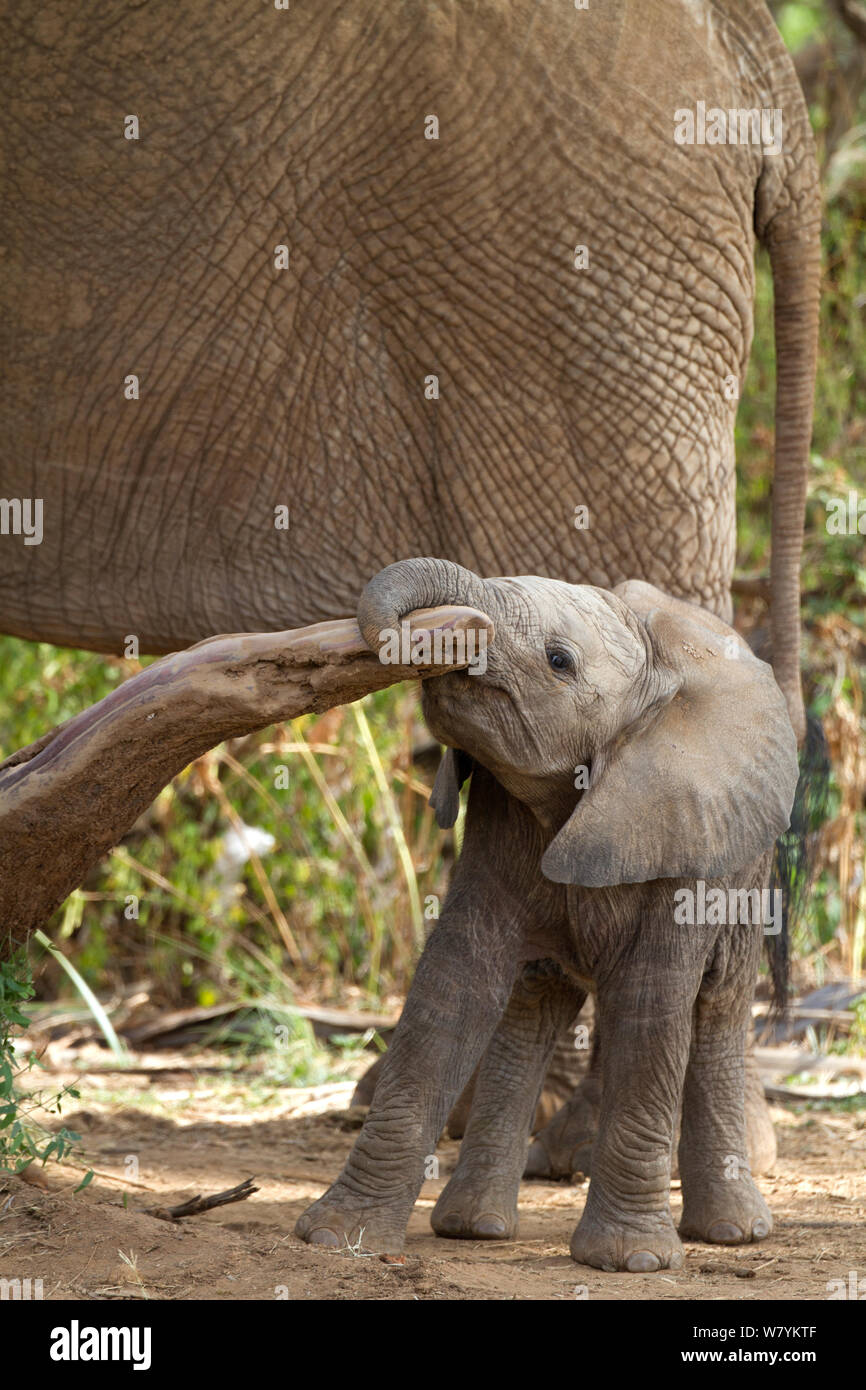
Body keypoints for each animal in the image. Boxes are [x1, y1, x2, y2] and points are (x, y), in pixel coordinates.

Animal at [297, 556, 800, 1273]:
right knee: (531, 1005)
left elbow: (651, 1002)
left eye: (559, 660)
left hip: (744, 865)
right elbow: (453, 987)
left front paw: (629, 1262)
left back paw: (735, 1234)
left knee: (716, 1007)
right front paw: (337, 1239)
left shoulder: (684, 833)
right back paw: (473, 1228)